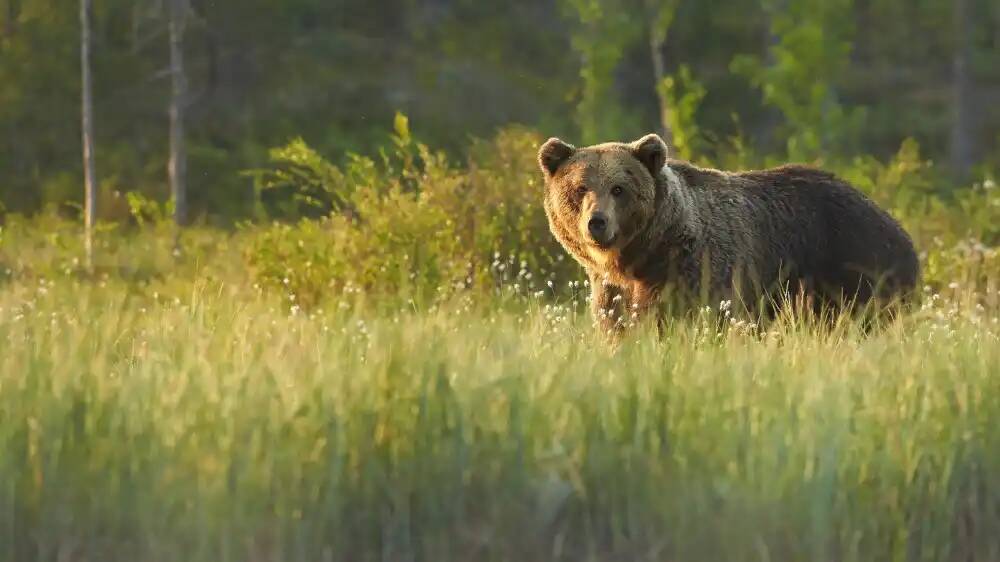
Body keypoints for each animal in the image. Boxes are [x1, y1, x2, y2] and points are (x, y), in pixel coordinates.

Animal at [540, 132, 920, 332]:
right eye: (579, 188)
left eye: (619, 189)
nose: (597, 221)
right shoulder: (612, 288)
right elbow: (617, 324)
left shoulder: (699, 270)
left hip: (855, 265)